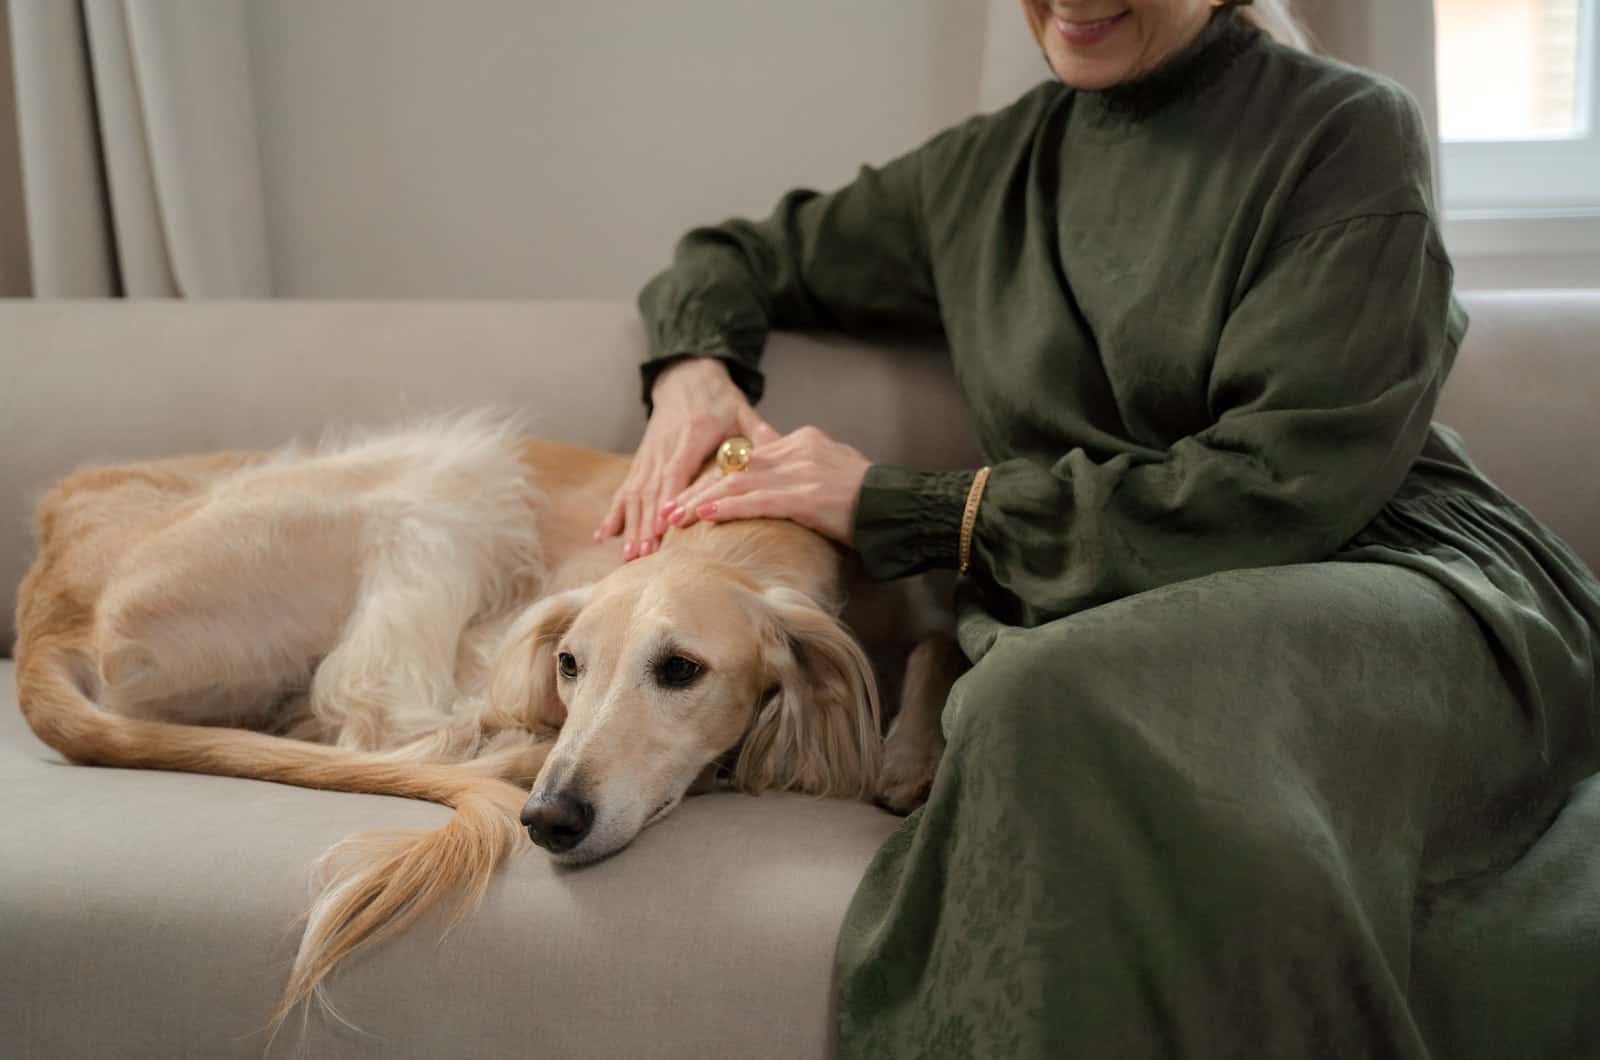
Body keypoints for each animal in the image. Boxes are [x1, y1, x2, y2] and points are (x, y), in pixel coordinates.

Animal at [12, 416, 953, 1031]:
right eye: (570, 665)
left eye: (681, 669)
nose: (552, 819)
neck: (744, 526)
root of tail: (47, 594)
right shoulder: (502, 645)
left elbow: (936, 639)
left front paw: (908, 754)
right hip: (443, 473)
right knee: (375, 716)